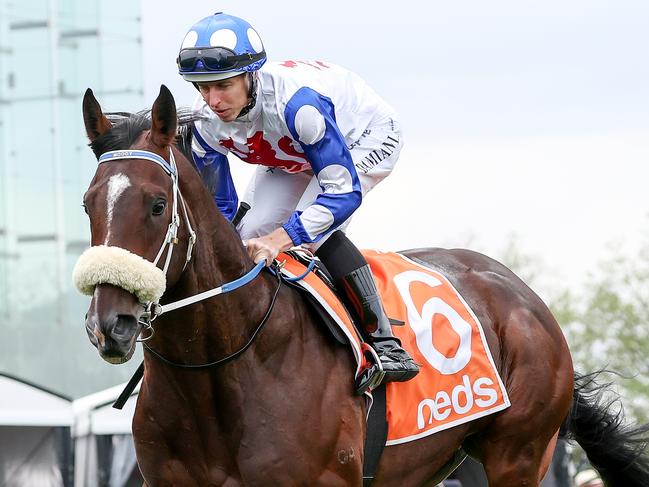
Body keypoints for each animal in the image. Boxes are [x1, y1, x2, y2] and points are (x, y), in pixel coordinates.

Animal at [77, 86, 648, 486]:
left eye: (157, 205)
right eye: (88, 204)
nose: (111, 324)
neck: (222, 369)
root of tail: (524, 297)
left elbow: (339, 188)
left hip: (519, 455)